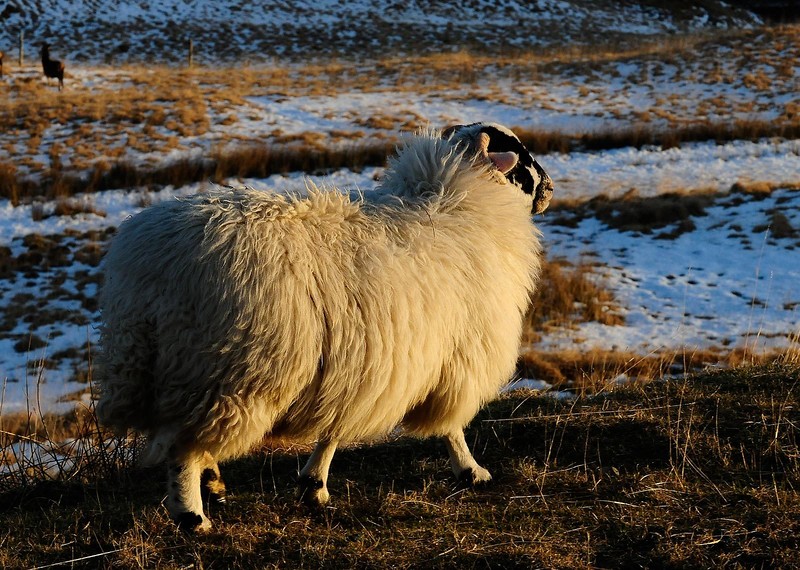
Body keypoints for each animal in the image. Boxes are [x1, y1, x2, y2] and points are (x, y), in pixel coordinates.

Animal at [96, 122, 554, 532]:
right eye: (520, 159)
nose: (549, 189)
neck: (461, 201)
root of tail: (151, 267)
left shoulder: (356, 366)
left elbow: (332, 430)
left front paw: (313, 486)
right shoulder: (458, 359)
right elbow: (452, 427)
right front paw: (471, 471)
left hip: (172, 370)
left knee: (186, 437)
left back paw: (213, 482)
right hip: (231, 375)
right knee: (182, 448)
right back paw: (192, 515)